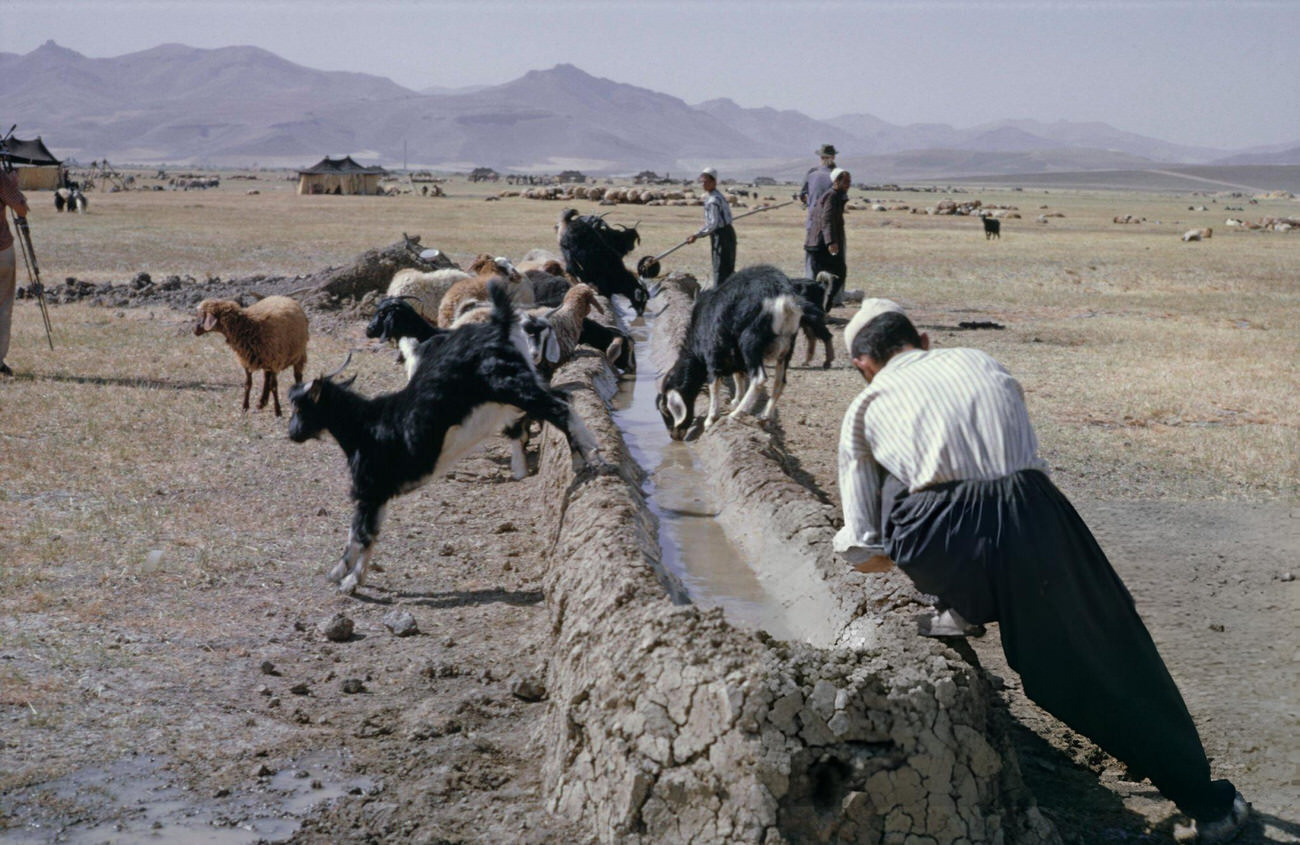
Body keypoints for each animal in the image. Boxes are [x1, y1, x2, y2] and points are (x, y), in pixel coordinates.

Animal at [660, 265, 800, 441]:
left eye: (666, 410)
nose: (674, 436)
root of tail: (783, 299)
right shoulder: (735, 355)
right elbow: (738, 376)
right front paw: (735, 401)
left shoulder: (713, 354)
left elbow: (714, 382)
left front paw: (710, 420)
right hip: (787, 346)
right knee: (780, 382)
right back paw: (764, 417)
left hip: (750, 341)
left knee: (759, 378)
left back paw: (736, 415)